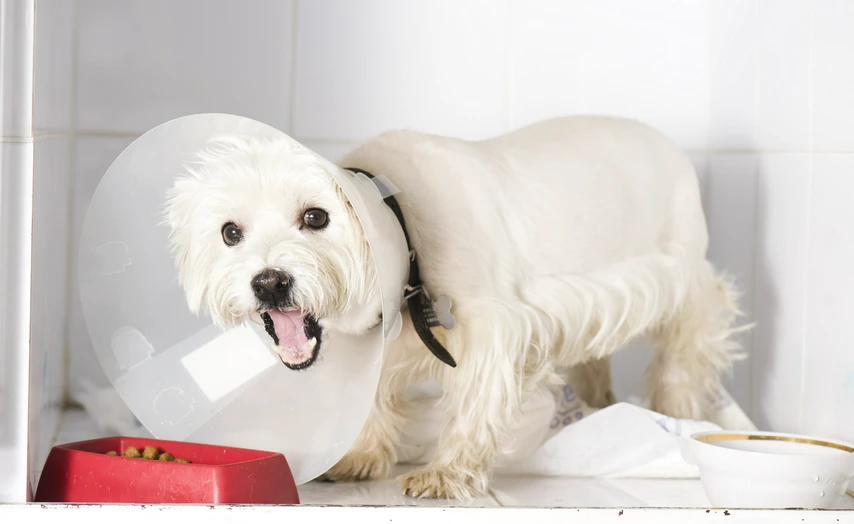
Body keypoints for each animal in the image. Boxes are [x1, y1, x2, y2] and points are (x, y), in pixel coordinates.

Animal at [164, 114, 744, 500]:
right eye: (230, 232)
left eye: (316, 217)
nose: (269, 283)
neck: (401, 228)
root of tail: (665, 141)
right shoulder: (385, 346)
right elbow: (373, 402)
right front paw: (361, 456)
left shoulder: (493, 325)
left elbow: (474, 404)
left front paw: (447, 473)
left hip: (683, 278)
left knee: (683, 357)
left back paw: (676, 415)